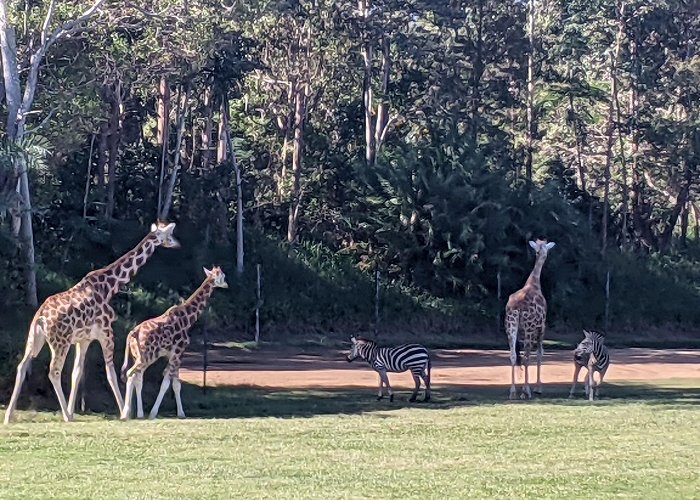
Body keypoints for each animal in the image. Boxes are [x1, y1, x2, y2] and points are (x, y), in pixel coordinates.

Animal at [2, 221, 182, 424]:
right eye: (169, 235)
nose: (177, 244)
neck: (109, 286)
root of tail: (40, 317)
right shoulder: (106, 332)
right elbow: (111, 373)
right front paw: (124, 412)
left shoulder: (84, 339)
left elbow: (77, 373)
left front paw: (73, 410)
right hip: (60, 342)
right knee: (54, 371)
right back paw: (65, 417)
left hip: (35, 338)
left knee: (22, 366)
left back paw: (9, 416)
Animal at [120, 264, 228, 420]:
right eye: (223, 276)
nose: (226, 284)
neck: (188, 319)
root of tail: (132, 333)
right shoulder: (178, 352)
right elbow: (167, 383)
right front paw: (154, 413)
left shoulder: (172, 355)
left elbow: (176, 384)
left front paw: (181, 413)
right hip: (147, 356)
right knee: (131, 374)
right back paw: (126, 414)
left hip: (138, 356)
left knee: (136, 378)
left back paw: (136, 414)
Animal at [504, 237, 556, 398]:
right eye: (539, 249)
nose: (543, 254)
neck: (534, 283)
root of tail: (517, 307)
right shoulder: (542, 326)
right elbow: (539, 353)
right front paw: (538, 388)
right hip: (528, 328)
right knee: (527, 356)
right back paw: (525, 391)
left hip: (511, 326)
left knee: (513, 355)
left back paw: (513, 392)